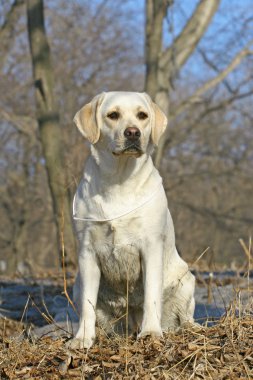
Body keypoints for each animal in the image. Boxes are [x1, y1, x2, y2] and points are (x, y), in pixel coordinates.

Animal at [69, 91, 196, 348]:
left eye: (142, 115)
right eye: (112, 115)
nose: (133, 132)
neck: (119, 179)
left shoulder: (151, 247)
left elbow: (151, 296)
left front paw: (151, 333)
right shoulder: (87, 251)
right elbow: (87, 304)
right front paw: (83, 338)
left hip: (187, 280)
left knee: (186, 317)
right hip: (77, 285)